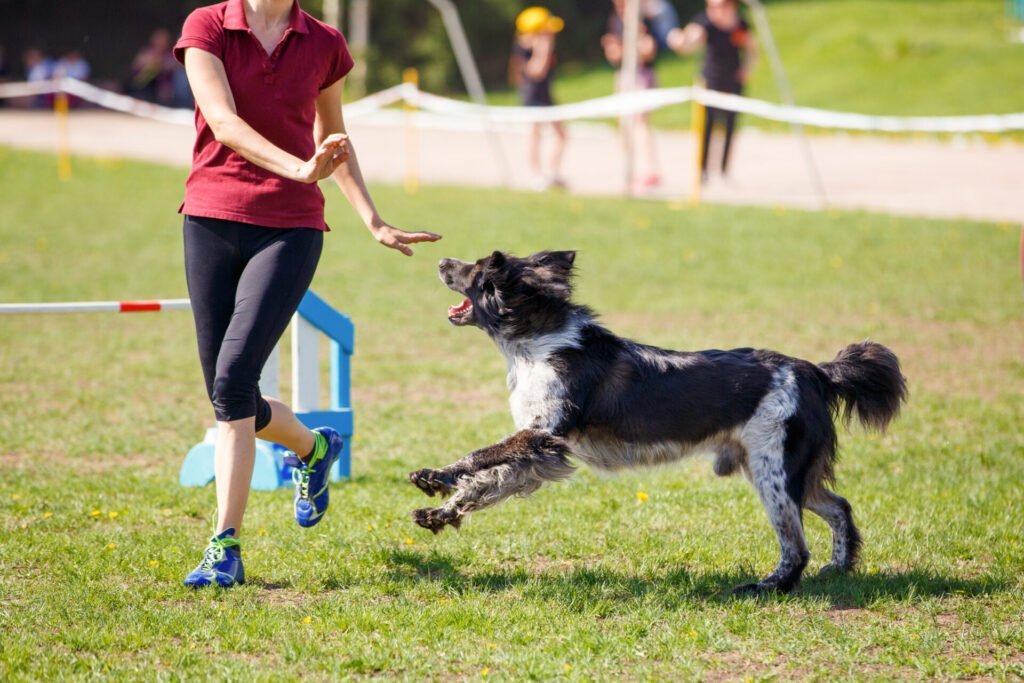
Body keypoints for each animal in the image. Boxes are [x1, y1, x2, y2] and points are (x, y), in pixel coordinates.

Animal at [407, 250, 905, 593]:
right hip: (780, 469)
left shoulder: (541, 436)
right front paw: (438, 511)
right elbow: (484, 483)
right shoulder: (540, 455)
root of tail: (816, 371)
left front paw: (435, 475)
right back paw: (838, 568)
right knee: (839, 507)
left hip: (775, 474)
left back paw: (765, 588)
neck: (537, 342)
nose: (441, 259)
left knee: (796, 547)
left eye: (476, 272)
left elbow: (478, 459)